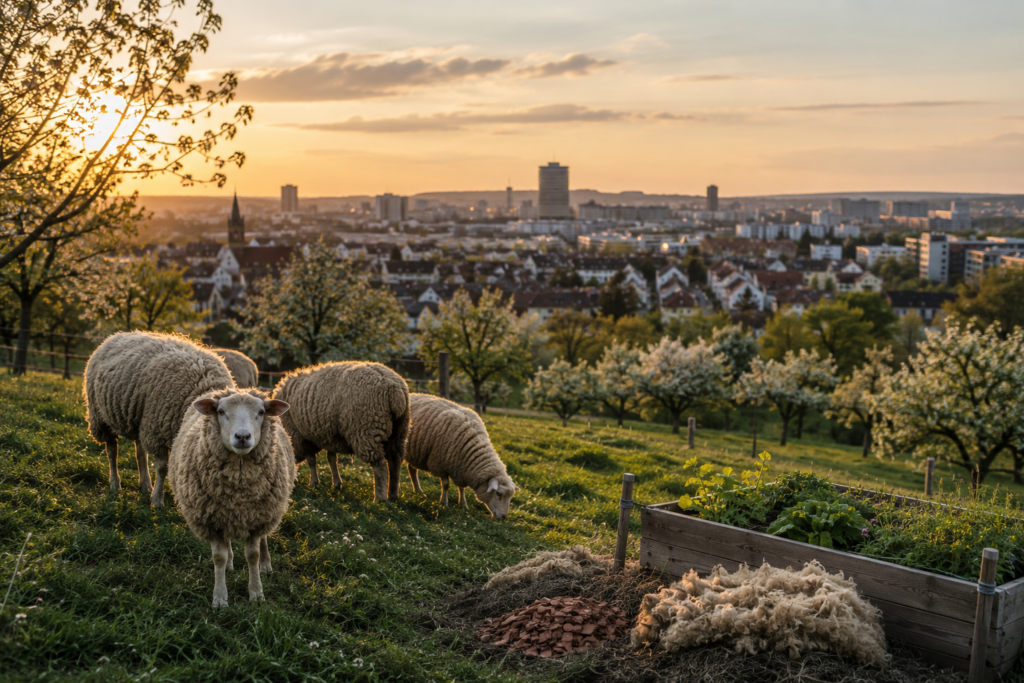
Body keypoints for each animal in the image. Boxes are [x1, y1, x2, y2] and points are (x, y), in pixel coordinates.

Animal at [83, 331, 235, 506]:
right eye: (221, 413)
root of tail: (114, 336)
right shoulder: (159, 433)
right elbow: (163, 469)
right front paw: (157, 500)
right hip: (101, 418)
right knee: (112, 450)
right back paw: (115, 484)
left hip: (141, 418)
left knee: (140, 453)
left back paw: (145, 485)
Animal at [168, 387, 294, 608]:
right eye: (220, 411)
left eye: (261, 412)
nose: (243, 436)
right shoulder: (211, 520)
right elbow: (219, 557)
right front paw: (219, 598)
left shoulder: (257, 518)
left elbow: (253, 555)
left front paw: (257, 593)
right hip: (222, 513)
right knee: (226, 544)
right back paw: (229, 563)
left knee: (264, 539)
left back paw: (266, 565)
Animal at [272, 361, 410, 502]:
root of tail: (394, 388)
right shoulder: (329, 436)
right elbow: (331, 459)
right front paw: (337, 483)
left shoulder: (302, 436)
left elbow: (312, 461)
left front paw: (314, 483)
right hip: (399, 432)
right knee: (395, 462)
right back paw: (393, 495)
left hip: (367, 429)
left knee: (379, 465)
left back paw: (380, 498)